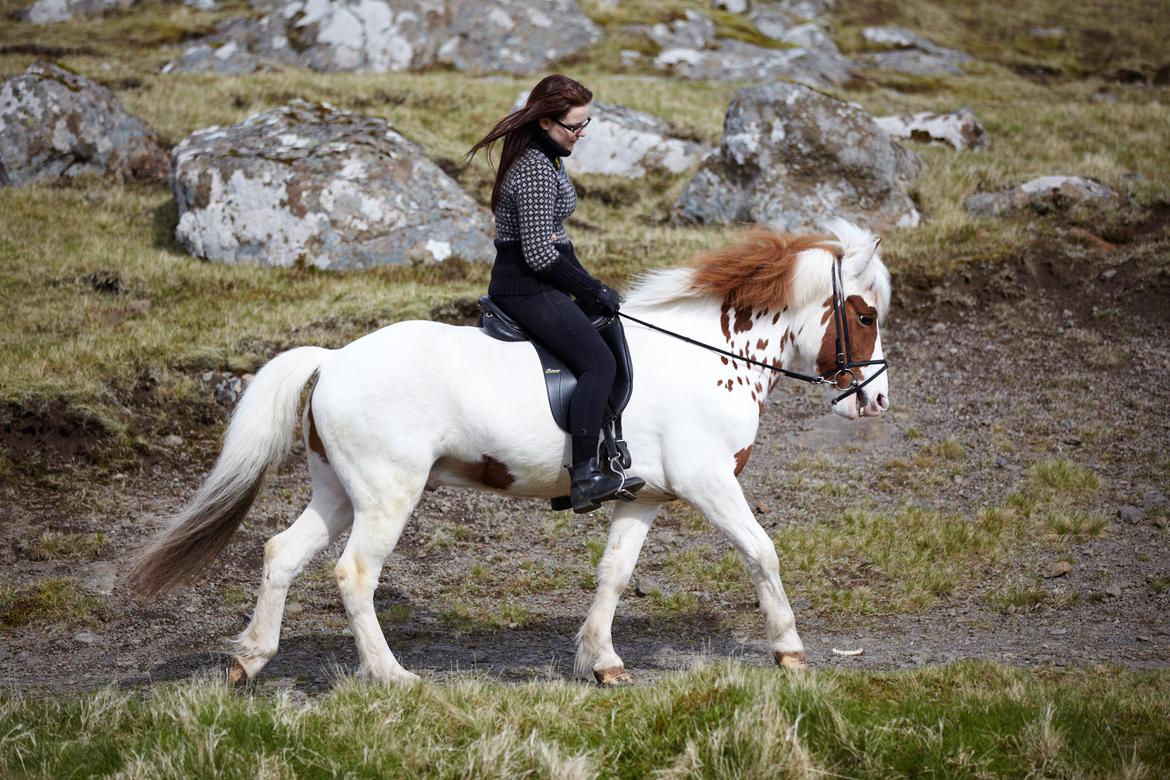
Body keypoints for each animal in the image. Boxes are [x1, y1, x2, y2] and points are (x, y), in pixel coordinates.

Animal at [128, 216, 889, 687]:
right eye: (865, 314)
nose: (876, 402)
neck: (713, 356)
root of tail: (335, 358)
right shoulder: (709, 483)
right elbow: (763, 551)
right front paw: (789, 651)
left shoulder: (645, 499)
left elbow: (614, 575)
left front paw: (601, 662)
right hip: (388, 492)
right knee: (353, 574)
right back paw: (392, 676)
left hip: (338, 491)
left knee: (281, 553)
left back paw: (249, 662)